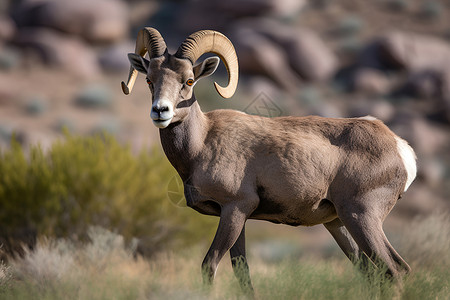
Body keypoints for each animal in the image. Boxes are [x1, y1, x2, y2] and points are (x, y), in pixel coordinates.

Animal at [121, 27, 416, 290]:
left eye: (189, 80)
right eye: (149, 79)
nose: (160, 111)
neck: (202, 143)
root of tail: (401, 149)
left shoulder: (235, 208)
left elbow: (209, 265)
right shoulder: (237, 217)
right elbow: (242, 272)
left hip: (361, 216)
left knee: (395, 270)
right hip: (338, 224)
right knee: (371, 273)